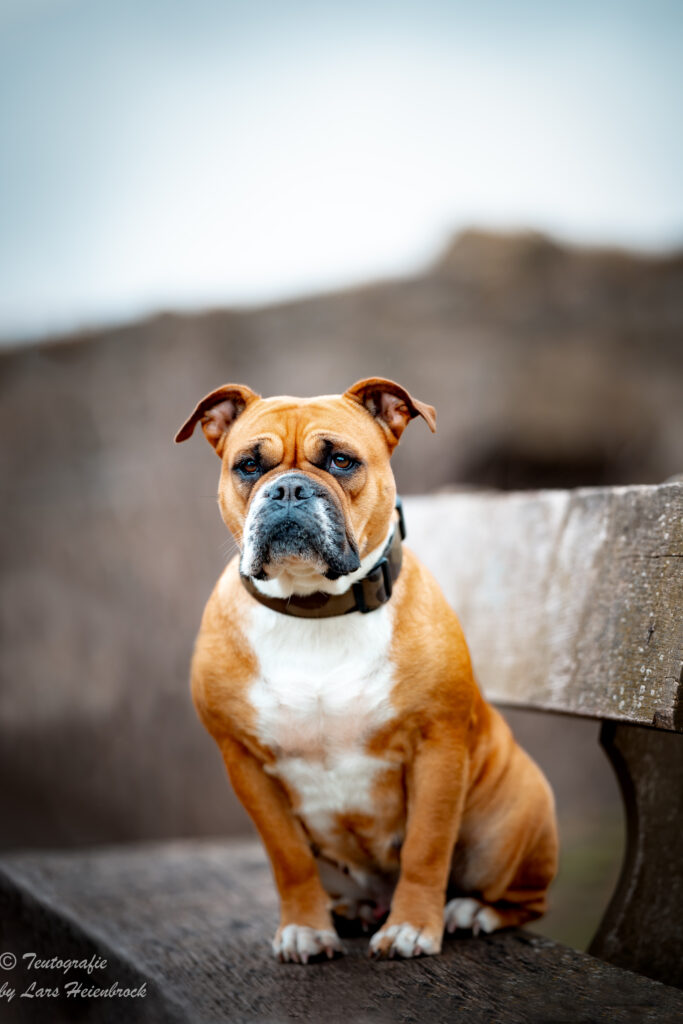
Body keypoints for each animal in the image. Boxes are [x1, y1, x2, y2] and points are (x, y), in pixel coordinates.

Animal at [174, 376, 557, 958]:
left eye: (340, 460)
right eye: (248, 465)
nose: (288, 490)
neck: (314, 607)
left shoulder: (437, 746)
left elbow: (427, 846)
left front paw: (412, 927)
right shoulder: (244, 763)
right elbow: (288, 857)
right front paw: (305, 928)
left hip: (510, 820)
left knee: (521, 898)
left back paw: (471, 911)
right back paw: (350, 910)